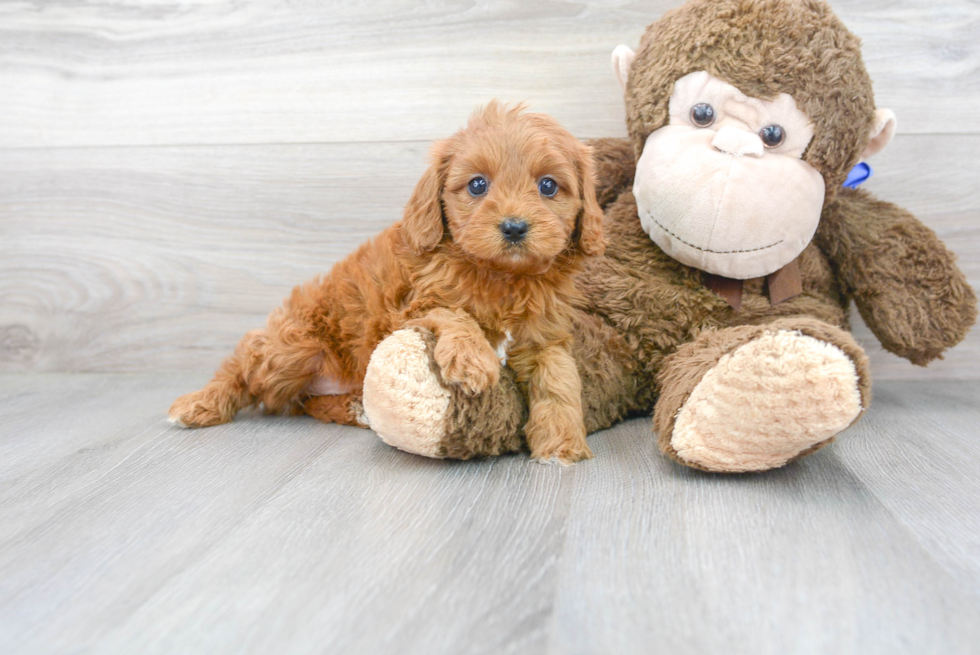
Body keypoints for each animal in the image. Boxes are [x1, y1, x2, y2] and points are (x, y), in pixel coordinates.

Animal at [172, 101, 608, 462]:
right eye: (478, 185)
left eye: (548, 185)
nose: (514, 227)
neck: (501, 275)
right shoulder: (411, 308)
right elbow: (455, 313)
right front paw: (473, 359)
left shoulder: (544, 336)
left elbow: (559, 380)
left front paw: (561, 442)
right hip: (293, 348)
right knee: (246, 363)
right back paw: (199, 403)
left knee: (304, 401)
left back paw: (355, 408)